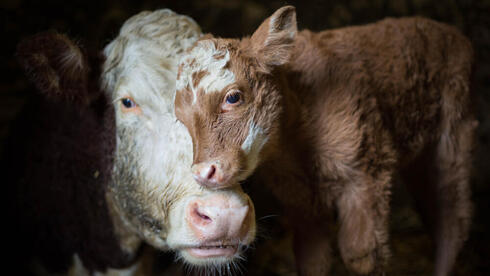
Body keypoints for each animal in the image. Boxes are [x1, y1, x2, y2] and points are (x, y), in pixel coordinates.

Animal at [172, 4, 474, 276]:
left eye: (233, 97)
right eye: (180, 117)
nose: (204, 172)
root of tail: (448, 31)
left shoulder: (367, 173)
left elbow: (361, 256)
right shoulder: (299, 196)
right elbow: (311, 259)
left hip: (454, 133)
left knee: (452, 216)